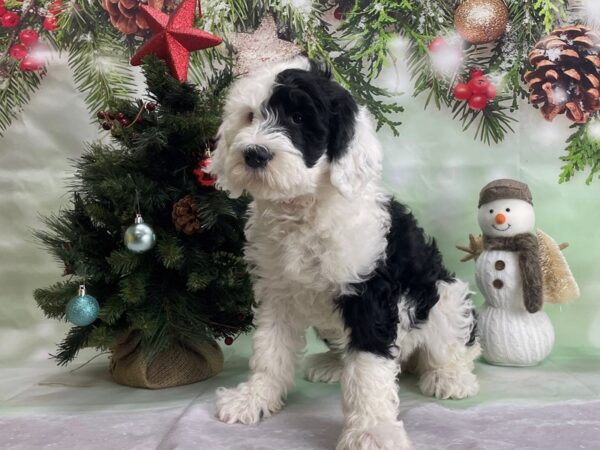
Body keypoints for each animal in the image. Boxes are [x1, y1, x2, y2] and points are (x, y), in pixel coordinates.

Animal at [209, 59, 480, 450]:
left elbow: (368, 368)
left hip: (446, 297)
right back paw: (333, 365)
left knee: (456, 345)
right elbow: (269, 351)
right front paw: (254, 397)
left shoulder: (369, 293)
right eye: (249, 116)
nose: (254, 154)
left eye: (300, 118)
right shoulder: (277, 292)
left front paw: (372, 430)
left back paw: (449, 377)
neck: (305, 210)